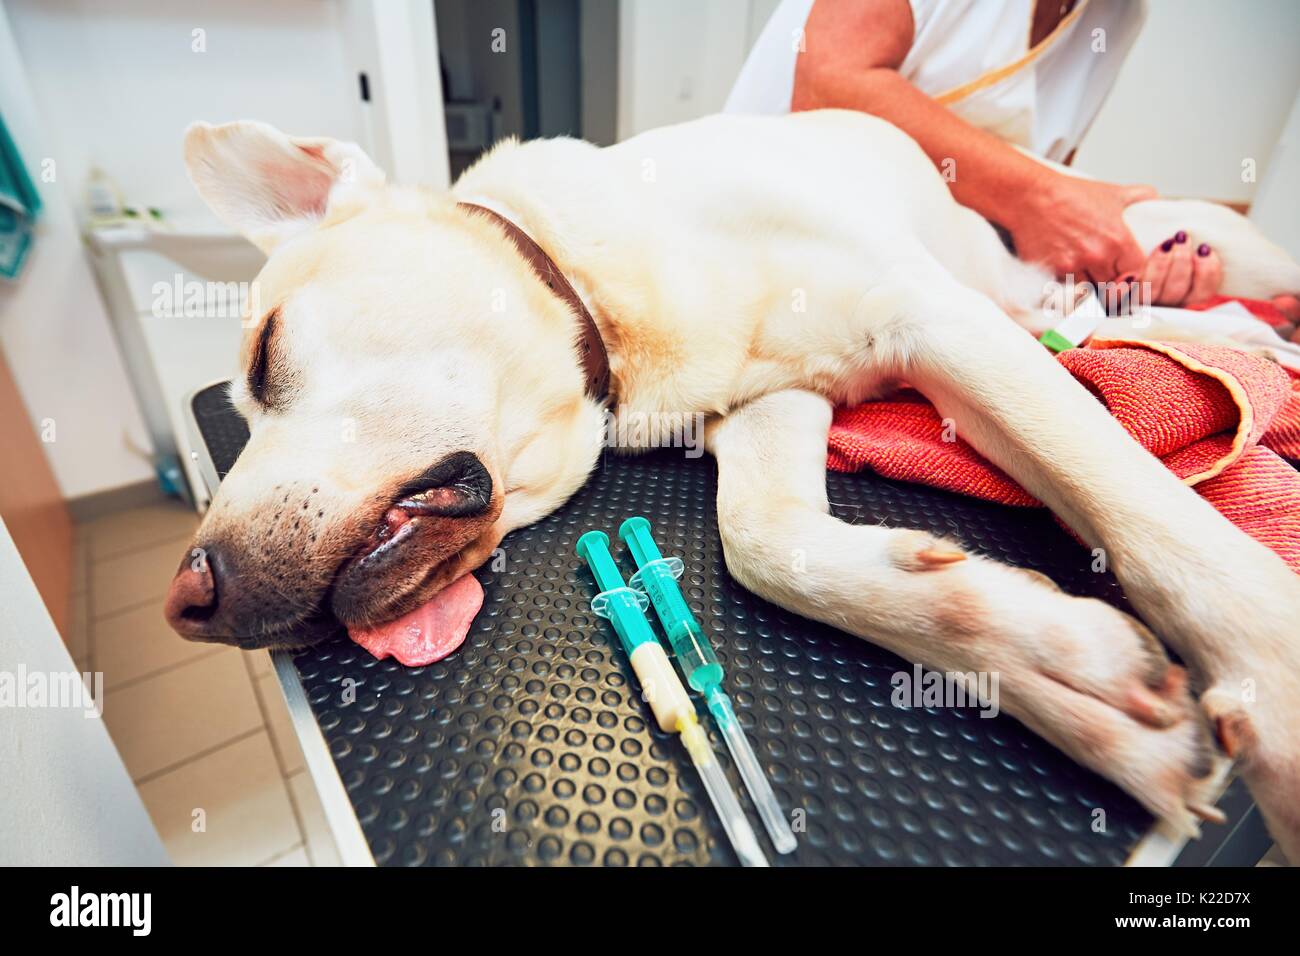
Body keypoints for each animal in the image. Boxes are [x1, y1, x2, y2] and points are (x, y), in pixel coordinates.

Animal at [167, 111, 1300, 858]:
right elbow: (770, 546)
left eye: (264, 351)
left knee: (1099, 308)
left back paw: (1236, 329)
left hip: (1050, 272)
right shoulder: (772, 403)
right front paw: (1066, 674)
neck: (598, 290)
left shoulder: (924, 315)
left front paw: (1271, 687)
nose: (186, 602)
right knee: (1082, 314)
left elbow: (1134, 503)